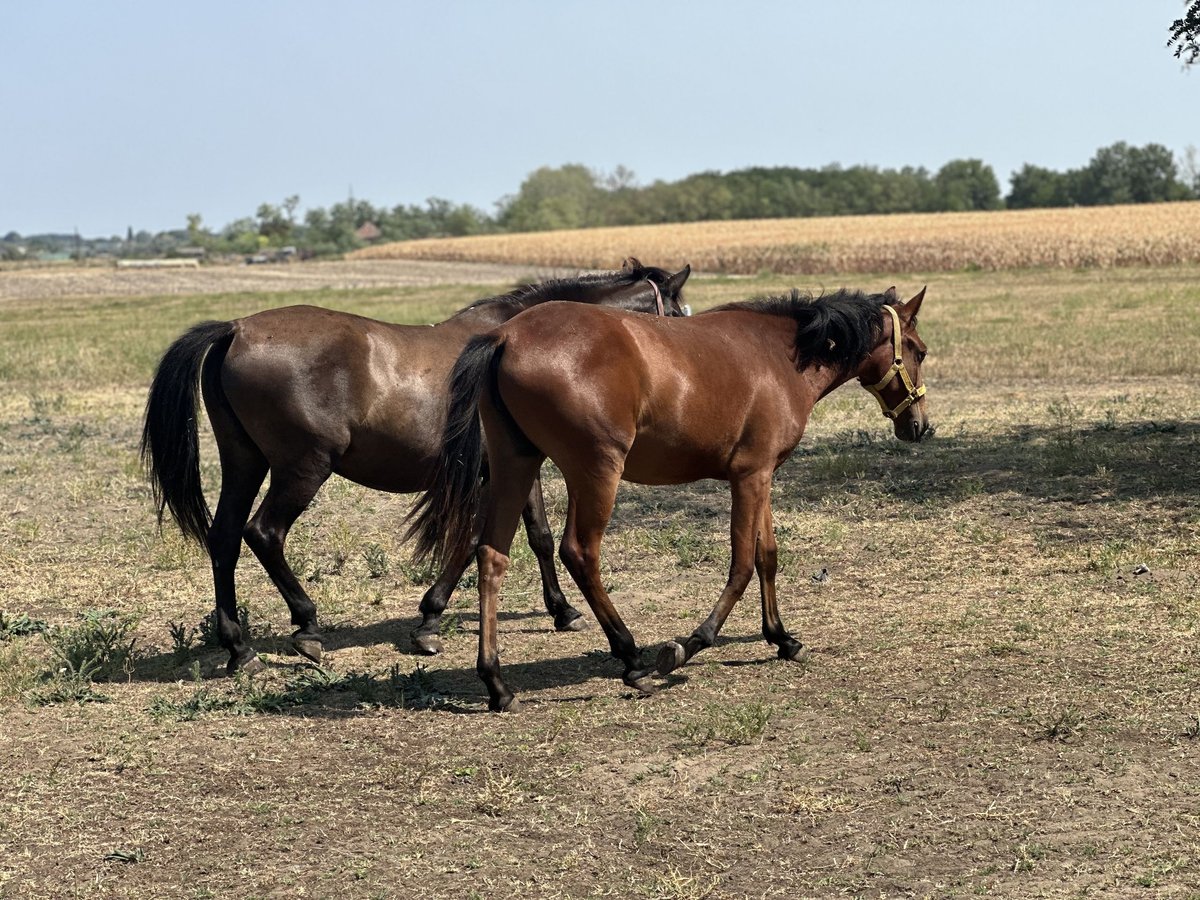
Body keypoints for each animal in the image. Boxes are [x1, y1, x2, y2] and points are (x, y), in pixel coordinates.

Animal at [141, 256, 691, 672]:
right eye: (679, 311)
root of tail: (234, 330)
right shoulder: (498, 472)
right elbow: (479, 541)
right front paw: (430, 621)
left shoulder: (515, 467)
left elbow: (535, 535)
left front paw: (561, 610)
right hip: (303, 468)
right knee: (263, 533)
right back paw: (307, 627)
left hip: (245, 462)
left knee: (224, 539)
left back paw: (239, 648)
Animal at [410, 286, 926, 710]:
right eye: (919, 351)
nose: (920, 426)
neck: (780, 356)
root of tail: (506, 336)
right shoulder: (749, 476)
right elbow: (742, 565)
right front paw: (690, 644)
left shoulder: (761, 477)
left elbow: (767, 558)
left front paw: (781, 637)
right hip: (596, 472)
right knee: (579, 553)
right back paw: (631, 659)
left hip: (517, 464)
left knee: (491, 554)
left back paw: (496, 683)